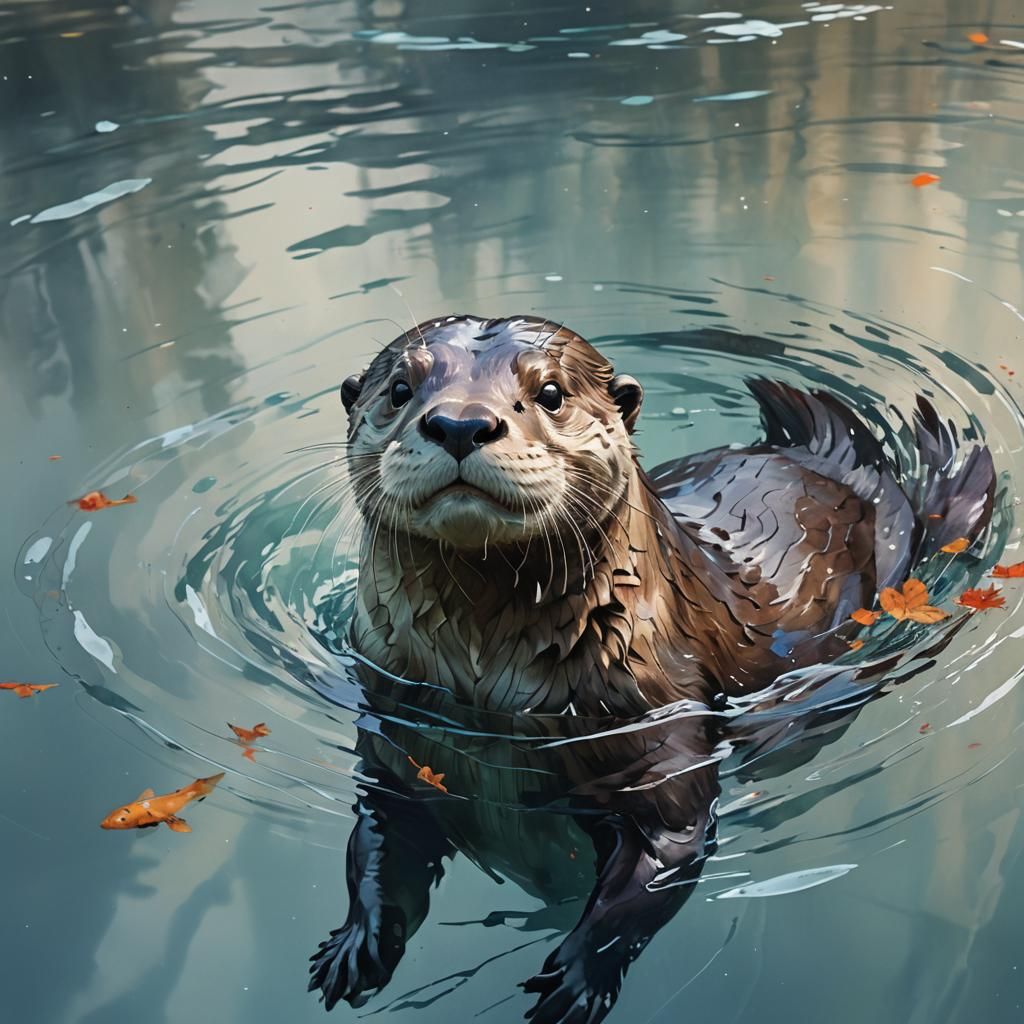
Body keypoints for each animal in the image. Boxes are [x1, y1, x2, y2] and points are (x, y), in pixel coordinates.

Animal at [308, 315, 994, 1023]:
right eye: (400, 388)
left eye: (549, 393)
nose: (461, 423)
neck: (489, 680)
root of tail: (838, 464)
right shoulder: (394, 724)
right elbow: (380, 834)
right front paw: (357, 943)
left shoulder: (663, 731)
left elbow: (666, 853)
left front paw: (578, 975)